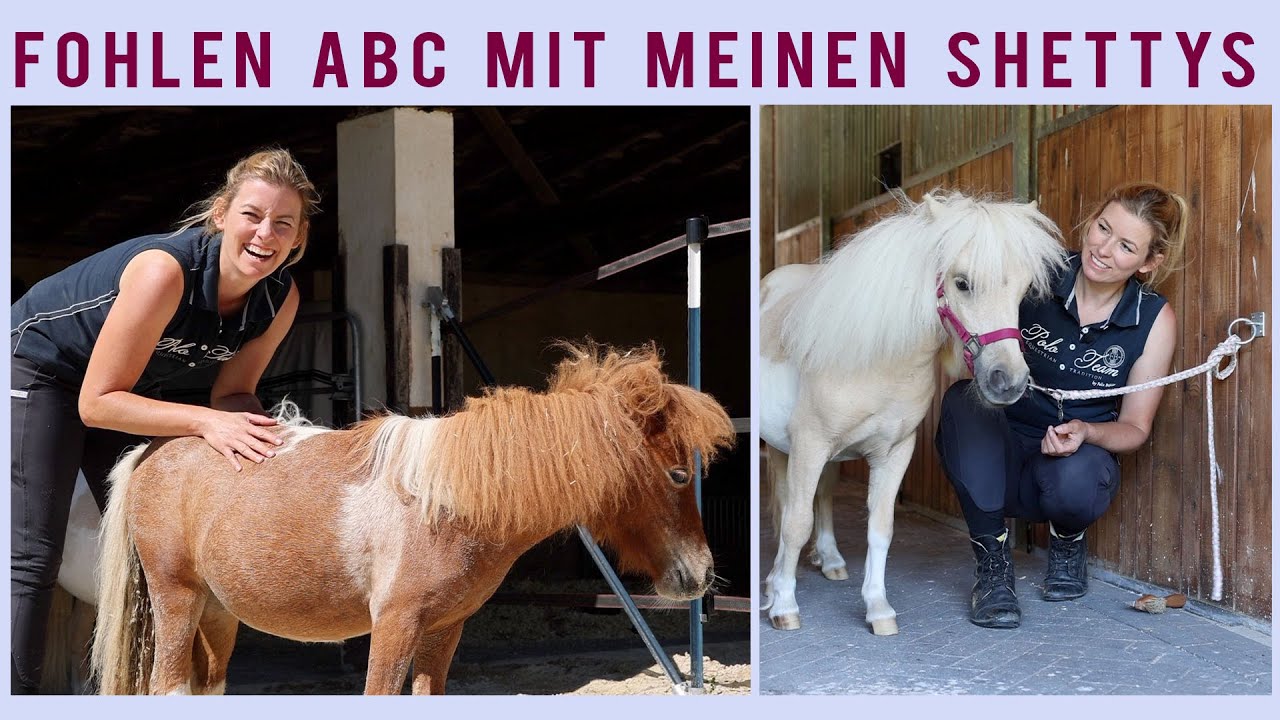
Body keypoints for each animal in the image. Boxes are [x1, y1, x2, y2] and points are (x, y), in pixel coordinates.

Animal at [90, 342, 736, 695]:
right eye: (679, 475)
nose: (702, 574)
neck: (447, 505)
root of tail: (150, 450)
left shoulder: (444, 629)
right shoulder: (394, 626)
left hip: (218, 613)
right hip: (177, 599)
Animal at [760, 189, 1066, 635]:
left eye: (1024, 288)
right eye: (962, 282)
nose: (1007, 381)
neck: (877, 363)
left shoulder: (893, 451)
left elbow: (880, 527)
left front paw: (878, 608)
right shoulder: (809, 445)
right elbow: (795, 523)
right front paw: (784, 604)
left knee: (825, 495)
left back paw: (830, 560)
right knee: (789, 505)